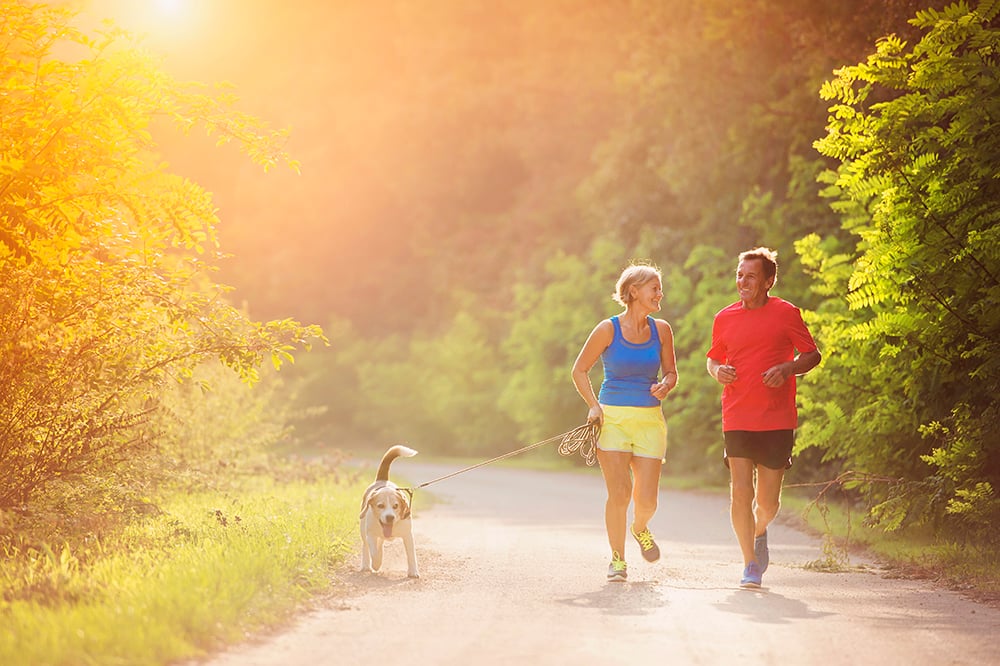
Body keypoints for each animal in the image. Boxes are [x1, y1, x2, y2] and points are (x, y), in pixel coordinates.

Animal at [358, 446, 420, 576]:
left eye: (395, 506)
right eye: (380, 506)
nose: (390, 517)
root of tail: (383, 480)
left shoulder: (408, 535)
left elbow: (411, 555)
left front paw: (413, 572)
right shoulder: (370, 534)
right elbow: (373, 552)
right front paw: (376, 564)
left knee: (380, 543)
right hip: (363, 530)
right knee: (366, 547)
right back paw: (366, 565)